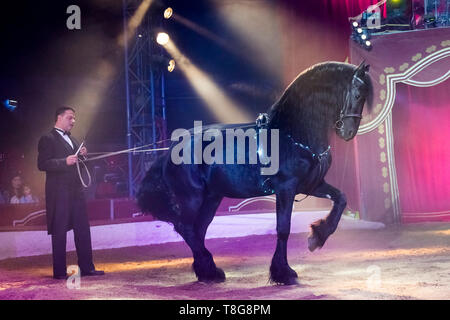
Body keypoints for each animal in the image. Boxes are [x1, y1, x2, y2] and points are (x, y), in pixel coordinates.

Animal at [136, 60, 372, 284]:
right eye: (357, 94)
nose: (348, 132)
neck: (292, 133)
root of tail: (172, 148)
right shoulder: (285, 188)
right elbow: (283, 228)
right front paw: (283, 273)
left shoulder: (310, 184)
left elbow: (341, 198)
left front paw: (317, 237)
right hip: (192, 198)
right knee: (185, 227)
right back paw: (209, 268)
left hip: (211, 198)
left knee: (198, 230)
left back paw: (207, 272)